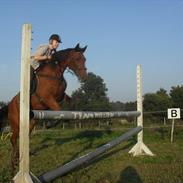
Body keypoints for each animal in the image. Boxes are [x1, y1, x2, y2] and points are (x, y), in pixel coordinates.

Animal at [0, 43, 88, 173]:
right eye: (77, 59)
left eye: (84, 59)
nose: (84, 78)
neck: (54, 74)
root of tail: (10, 104)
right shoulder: (48, 99)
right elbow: (59, 111)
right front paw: (50, 124)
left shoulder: (60, 96)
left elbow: (69, 102)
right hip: (16, 124)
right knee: (13, 139)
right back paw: (13, 164)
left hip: (31, 123)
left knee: (23, 136)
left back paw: (17, 157)